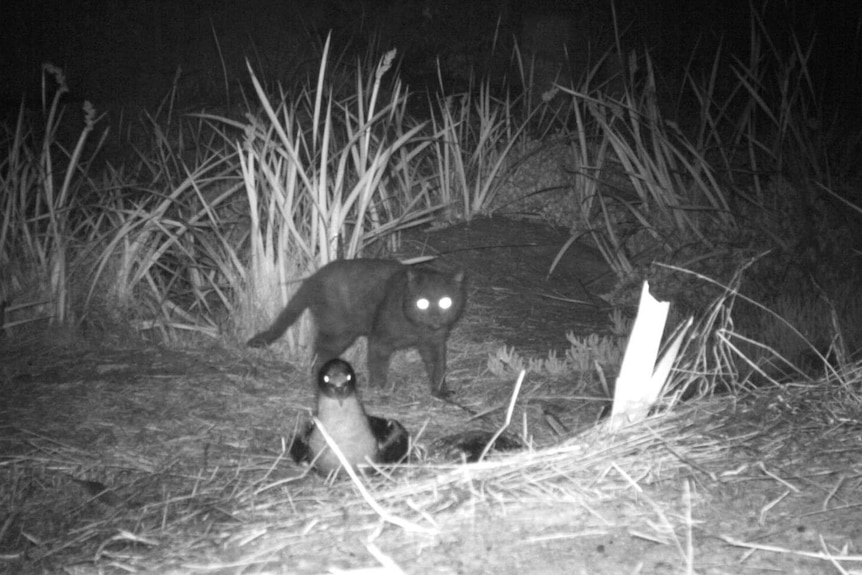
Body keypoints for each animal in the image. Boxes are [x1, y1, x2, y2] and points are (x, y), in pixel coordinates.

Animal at [246, 260, 470, 398]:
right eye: (422, 303)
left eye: (446, 302)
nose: (435, 317)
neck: (419, 330)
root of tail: (312, 278)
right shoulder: (380, 340)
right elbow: (377, 366)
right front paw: (379, 389)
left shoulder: (436, 343)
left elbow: (439, 367)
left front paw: (441, 392)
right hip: (339, 333)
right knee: (318, 354)